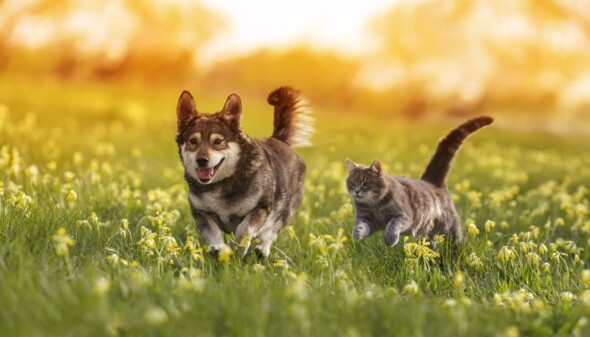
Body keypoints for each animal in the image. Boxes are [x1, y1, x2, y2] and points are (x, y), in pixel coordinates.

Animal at [176, 86, 314, 258]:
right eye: (193, 141)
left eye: (218, 141)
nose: (202, 160)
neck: (222, 183)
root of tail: (279, 140)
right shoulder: (201, 213)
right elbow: (212, 231)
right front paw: (218, 248)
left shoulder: (261, 207)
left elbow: (244, 229)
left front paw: (238, 249)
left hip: (286, 210)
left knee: (272, 231)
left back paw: (262, 249)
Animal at [346, 115, 494, 244]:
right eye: (352, 183)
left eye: (365, 183)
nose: (357, 191)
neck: (375, 205)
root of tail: (432, 182)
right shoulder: (366, 218)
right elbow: (361, 226)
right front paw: (356, 235)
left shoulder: (404, 215)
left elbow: (393, 224)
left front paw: (389, 240)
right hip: (427, 233)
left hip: (448, 227)